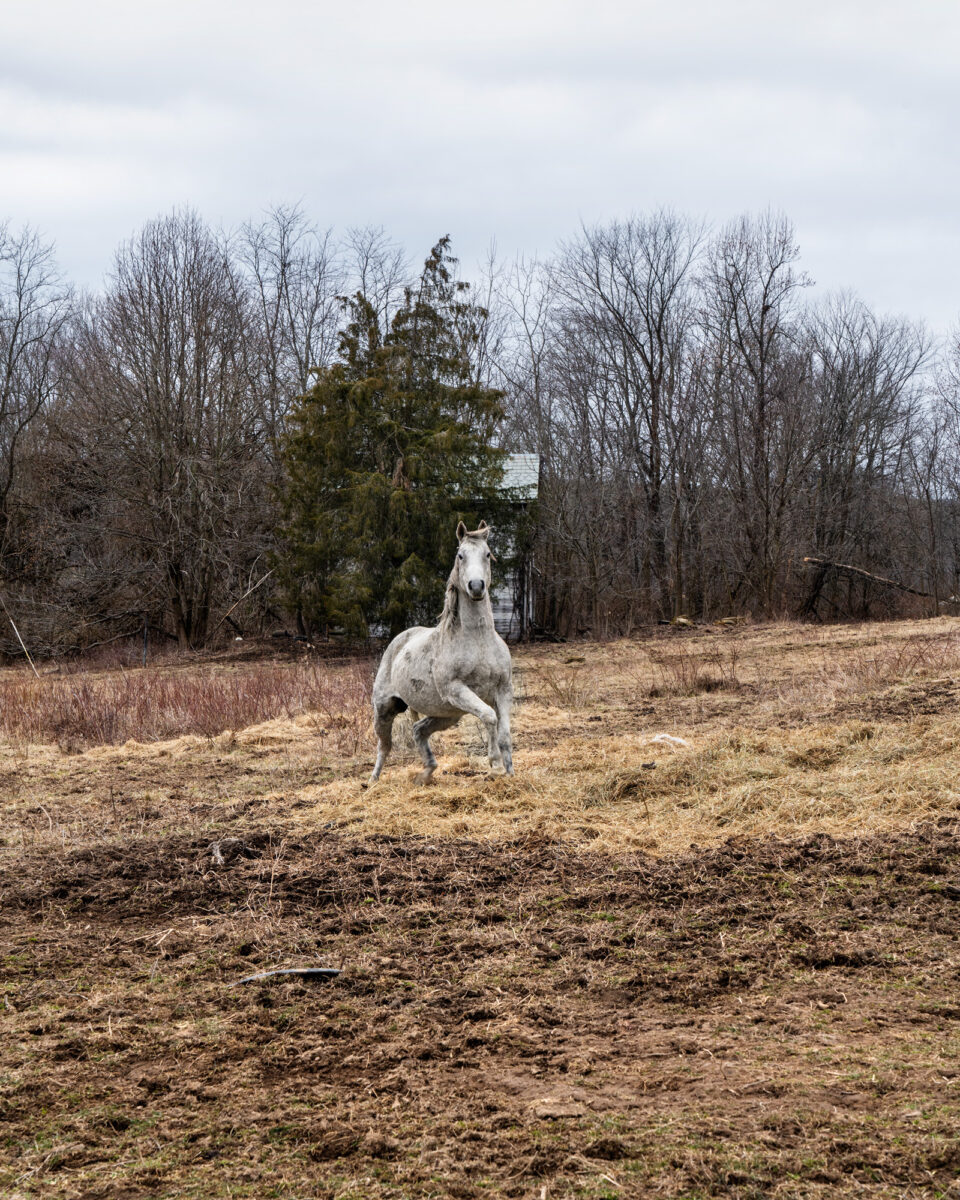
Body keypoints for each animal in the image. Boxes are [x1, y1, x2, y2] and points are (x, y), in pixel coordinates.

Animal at [372, 520, 513, 782]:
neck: (478, 640)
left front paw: (510, 774)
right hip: (384, 708)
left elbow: (505, 735)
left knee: (418, 730)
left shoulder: (504, 690)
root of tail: (398, 642)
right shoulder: (455, 689)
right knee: (384, 746)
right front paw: (496, 764)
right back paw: (373, 781)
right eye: (460, 555)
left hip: (448, 714)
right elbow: (489, 716)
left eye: (488, 554)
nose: (476, 586)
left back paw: (426, 774)